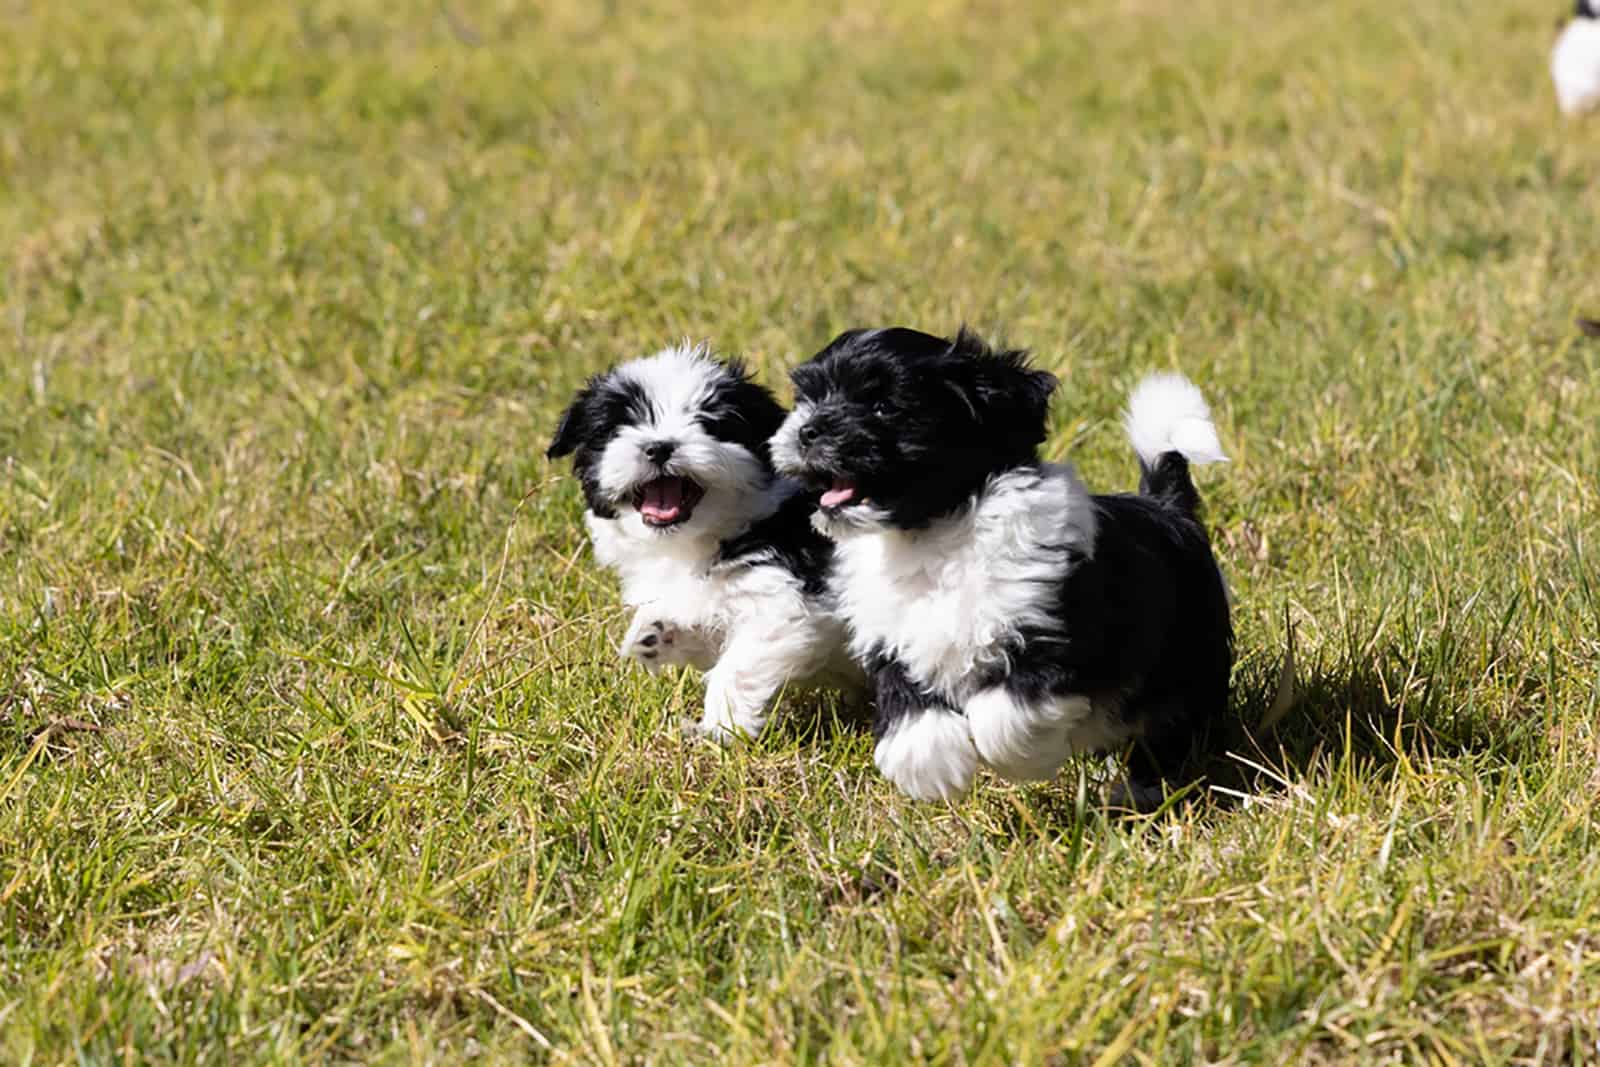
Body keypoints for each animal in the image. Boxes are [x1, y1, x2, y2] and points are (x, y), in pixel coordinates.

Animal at [547, 343, 864, 742]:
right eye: (619, 426)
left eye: (708, 423)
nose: (659, 447)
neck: (703, 538)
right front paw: (658, 631)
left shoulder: (785, 598)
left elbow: (736, 665)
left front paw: (719, 731)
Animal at [768, 327, 1228, 809]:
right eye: (807, 397)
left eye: (884, 405)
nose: (807, 430)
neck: (933, 533)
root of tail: (1166, 508)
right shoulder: (894, 642)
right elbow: (909, 708)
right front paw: (932, 768)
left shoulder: (1053, 634)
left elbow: (1002, 712)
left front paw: (1026, 758)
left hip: (1189, 653)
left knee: (1174, 721)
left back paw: (1144, 787)